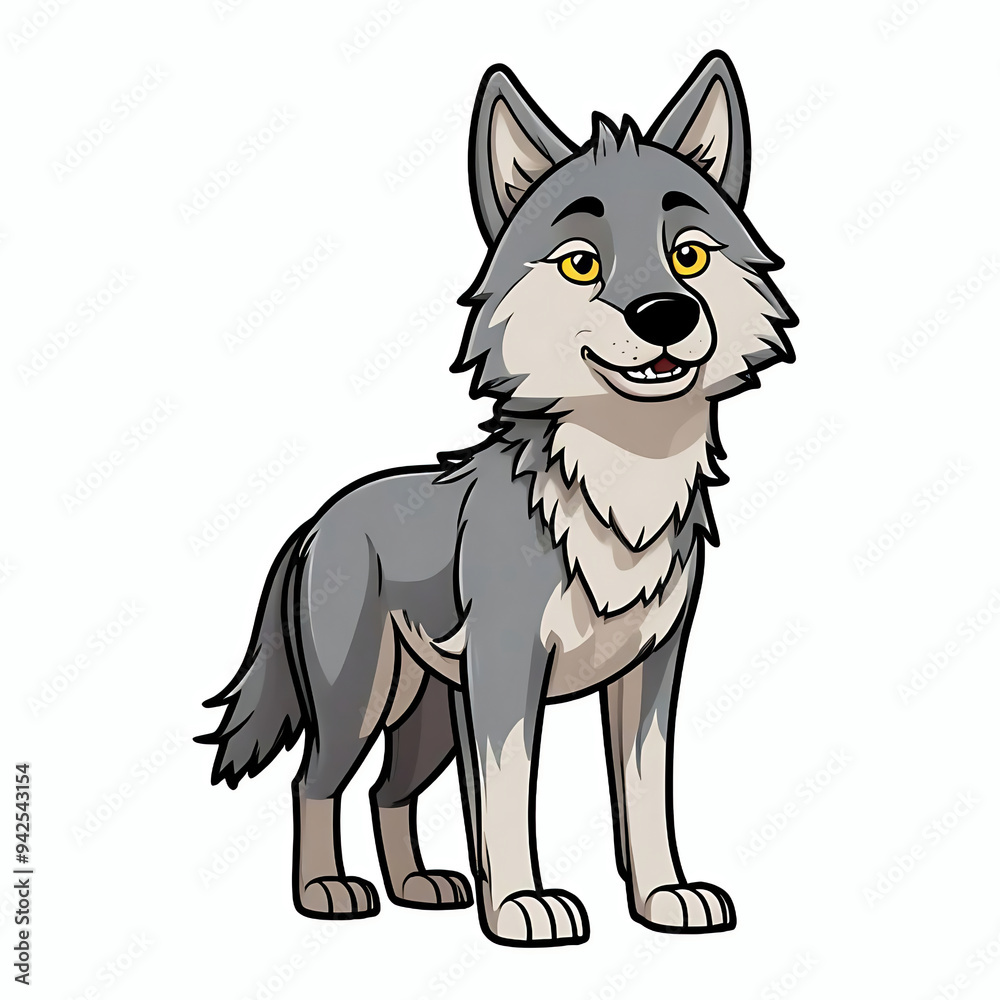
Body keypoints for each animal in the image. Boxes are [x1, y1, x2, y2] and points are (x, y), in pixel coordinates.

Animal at [198, 50, 796, 947]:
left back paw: (418, 886)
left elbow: (645, 797)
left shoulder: (650, 672)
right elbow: (508, 799)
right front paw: (520, 907)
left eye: (689, 255)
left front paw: (664, 898)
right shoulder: (506, 673)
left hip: (426, 720)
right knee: (316, 782)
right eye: (582, 263)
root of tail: (317, 520)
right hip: (361, 701)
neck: (620, 486)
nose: (665, 314)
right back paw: (327, 892)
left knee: (387, 791)